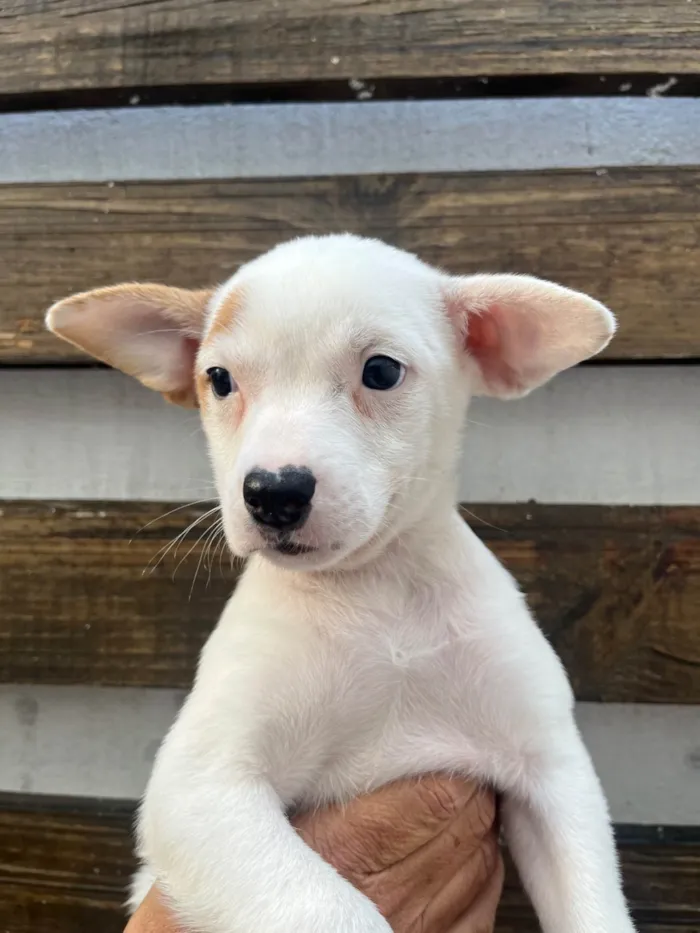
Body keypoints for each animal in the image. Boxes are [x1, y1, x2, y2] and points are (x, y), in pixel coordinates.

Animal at [45, 233, 636, 932]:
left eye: (380, 371)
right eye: (219, 380)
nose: (273, 494)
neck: (378, 593)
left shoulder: (551, 774)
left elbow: (595, 908)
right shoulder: (203, 786)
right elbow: (331, 907)